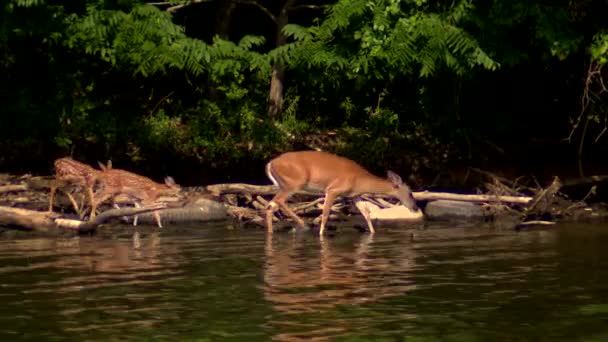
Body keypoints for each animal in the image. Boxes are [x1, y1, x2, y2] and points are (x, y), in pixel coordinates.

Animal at [266, 150, 418, 235]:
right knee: (279, 201)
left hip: (283, 185)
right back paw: (304, 224)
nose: (416, 208)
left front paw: (373, 233)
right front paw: (321, 234)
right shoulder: (333, 190)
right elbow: (325, 214)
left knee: (270, 205)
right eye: (410, 192)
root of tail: (270, 163)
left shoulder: (354, 196)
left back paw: (271, 232)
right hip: (294, 183)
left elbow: (366, 214)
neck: (359, 180)